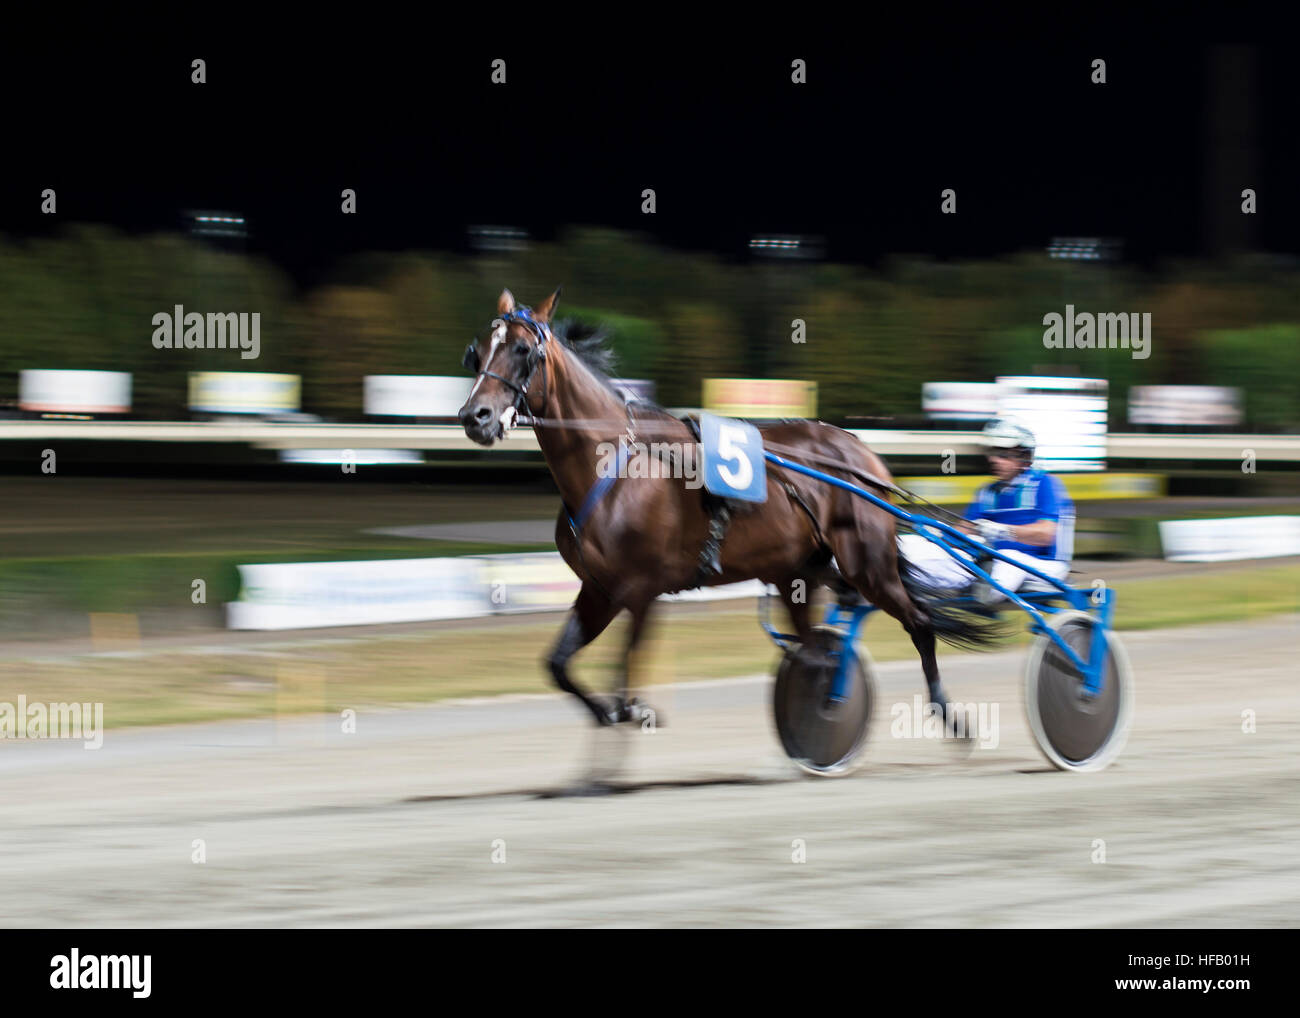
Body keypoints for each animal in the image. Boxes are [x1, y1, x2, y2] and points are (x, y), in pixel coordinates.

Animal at [457, 291, 993, 738]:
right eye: (477, 351)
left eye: (522, 350)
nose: (474, 417)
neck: (610, 465)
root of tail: (862, 453)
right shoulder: (599, 588)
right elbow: (558, 664)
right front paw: (611, 713)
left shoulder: (640, 588)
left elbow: (626, 669)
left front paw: (628, 717)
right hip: (800, 571)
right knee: (818, 642)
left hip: (868, 563)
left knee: (918, 622)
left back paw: (948, 715)